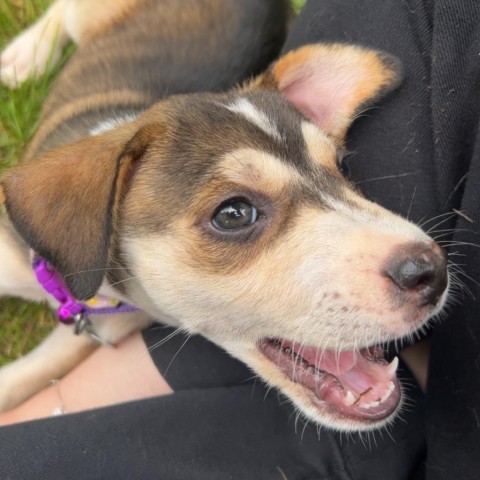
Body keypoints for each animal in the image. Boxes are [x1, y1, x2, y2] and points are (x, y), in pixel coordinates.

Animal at [0, 0, 450, 432]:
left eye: (342, 167)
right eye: (234, 214)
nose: (432, 271)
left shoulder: (98, 325)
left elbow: (24, 378)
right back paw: (26, 57)